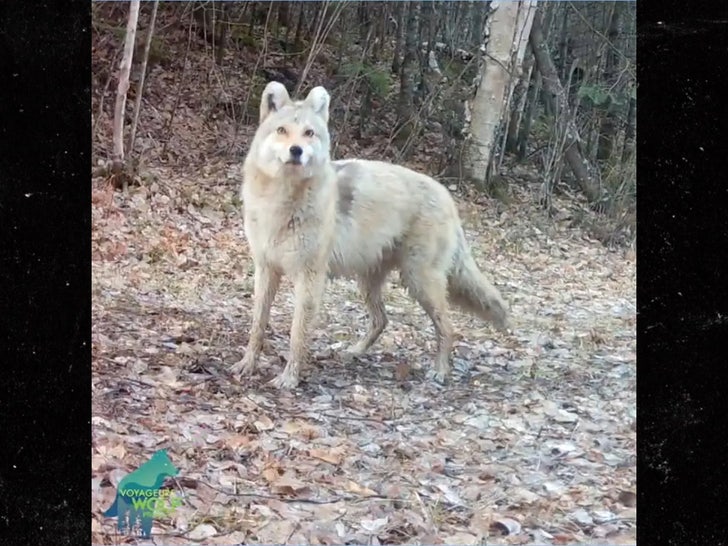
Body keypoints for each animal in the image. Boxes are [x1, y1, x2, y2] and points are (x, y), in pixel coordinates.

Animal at [232, 81, 509, 389]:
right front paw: (247, 365)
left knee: (448, 327)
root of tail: (447, 197)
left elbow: (297, 334)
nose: (296, 151)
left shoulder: (310, 278)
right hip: (369, 282)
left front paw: (290, 379)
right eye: (282, 130)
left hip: (418, 282)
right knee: (382, 320)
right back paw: (352, 352)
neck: (281, 201)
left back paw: (440, 372)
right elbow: (257, 325)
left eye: (309, 133)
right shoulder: (266, 269)